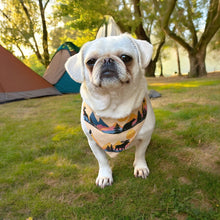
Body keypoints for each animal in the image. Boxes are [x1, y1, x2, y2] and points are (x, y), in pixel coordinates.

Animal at [65, 33, 155, 188]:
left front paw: (140, 167)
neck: (114, 102)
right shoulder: (93, 142)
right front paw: (105, 176)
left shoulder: (145, 137)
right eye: (90, 61)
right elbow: (102, 161)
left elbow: (140, 154)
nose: (107, 60)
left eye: (125, 57)